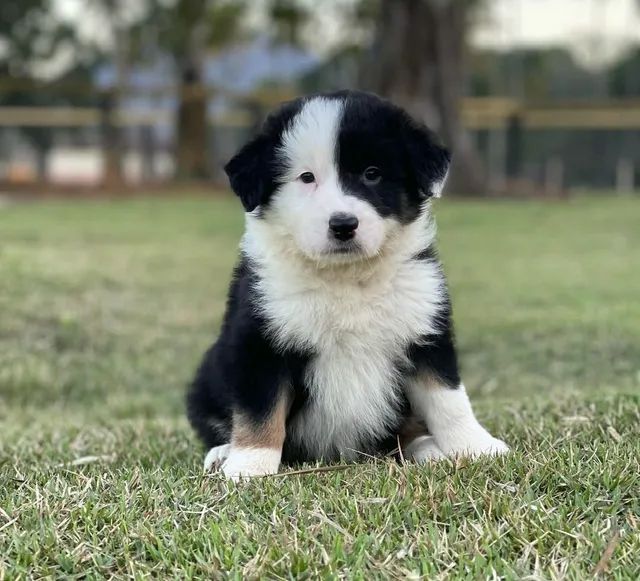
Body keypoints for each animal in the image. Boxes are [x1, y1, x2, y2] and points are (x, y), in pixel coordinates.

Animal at [186, 90, 510, 478]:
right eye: (306, 177)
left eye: (372, 174)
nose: (343, 225)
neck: (346, 277)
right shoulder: (261, 340)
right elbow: (259, 410)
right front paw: (250, 466)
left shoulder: (424, 331)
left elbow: (448, 398)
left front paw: (476, 446)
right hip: (207, 379)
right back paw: (222, 452)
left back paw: (427, 448)